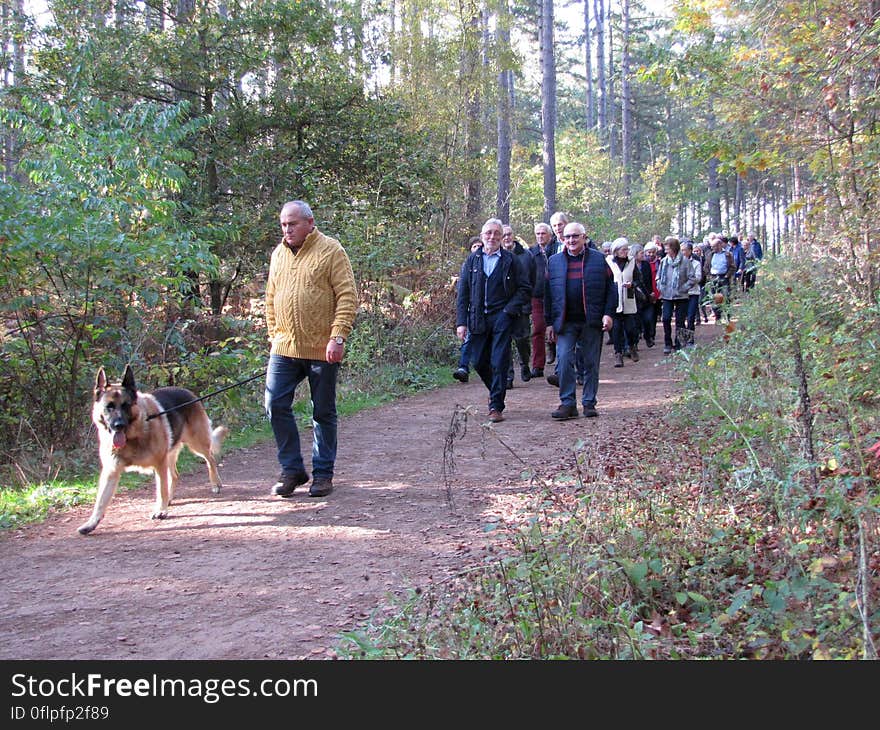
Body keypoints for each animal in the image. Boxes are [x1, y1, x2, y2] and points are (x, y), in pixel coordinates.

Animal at [78, 366, 227, 532]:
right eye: (109, 407)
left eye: (126, 405)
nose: (119, 425)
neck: (133, 437)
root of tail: (186, 391)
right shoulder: (111, 471)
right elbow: (101, 501)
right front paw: (91, 523)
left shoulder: (159, 464)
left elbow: (161, 490)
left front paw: (161, 511)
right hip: (171, 453)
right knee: (175, 475)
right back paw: (171, 498)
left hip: (196, 444)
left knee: (211, 459)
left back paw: (215, 484)